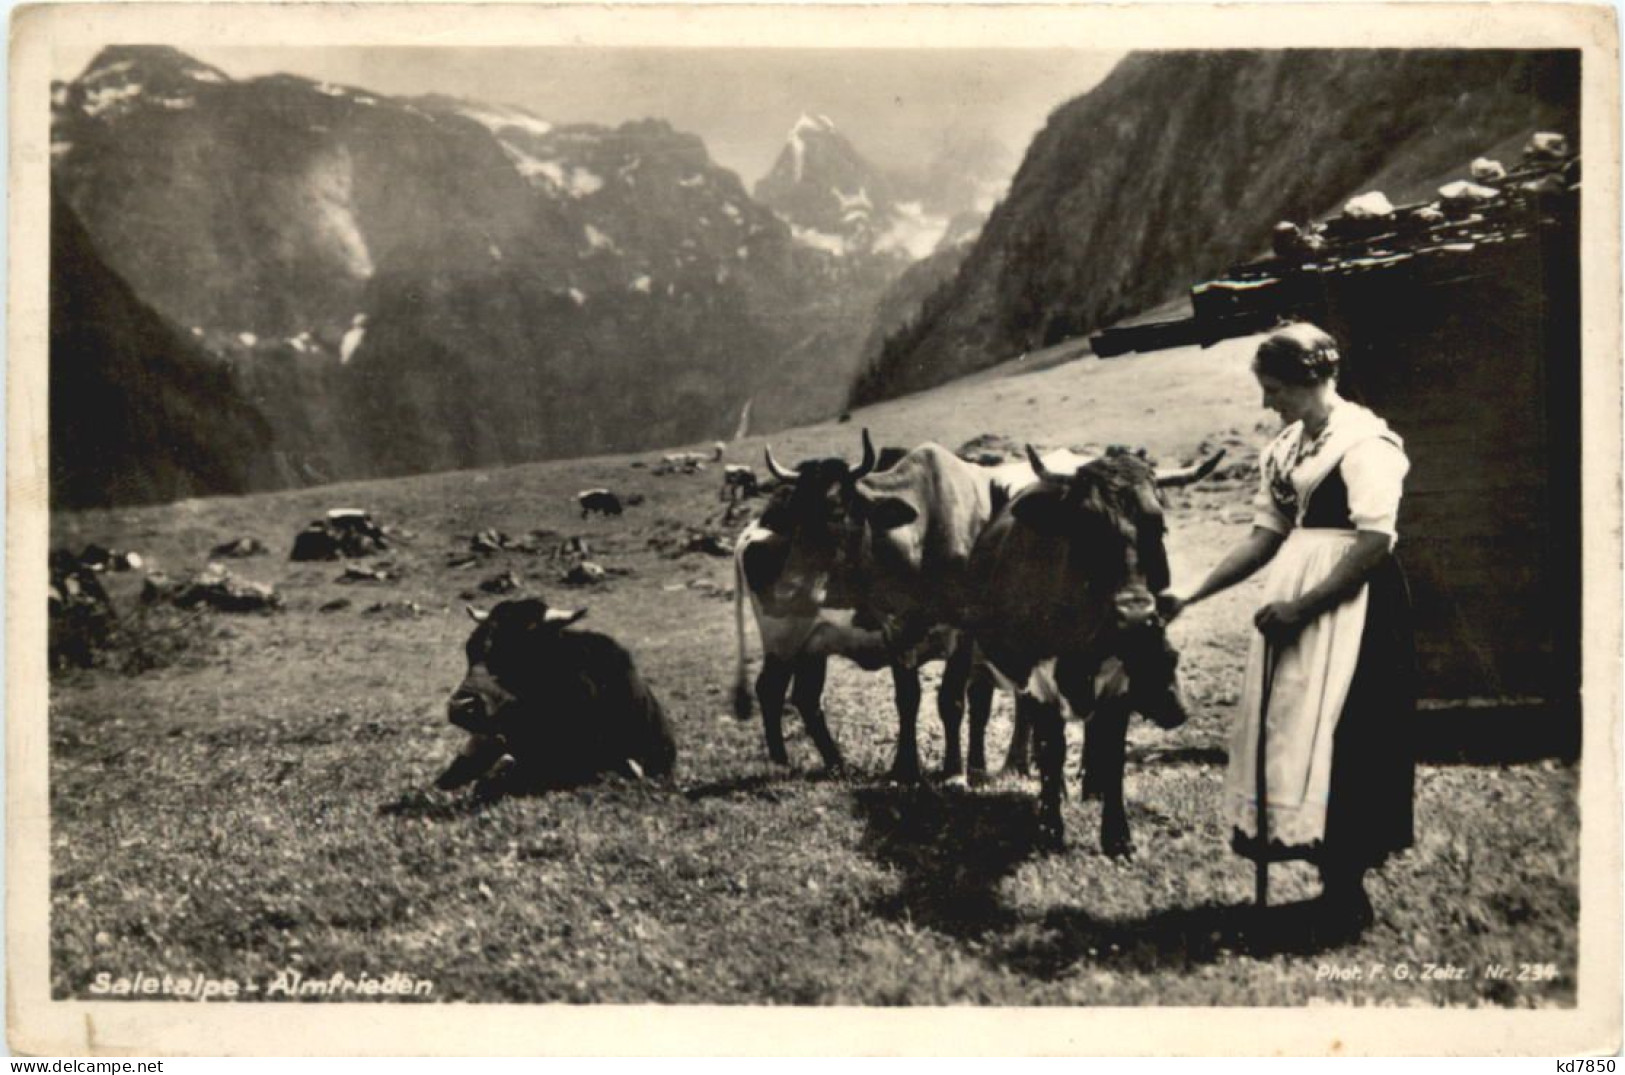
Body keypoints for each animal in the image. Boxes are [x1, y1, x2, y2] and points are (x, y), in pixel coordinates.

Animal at [962, 444, 1222, 850]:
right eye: (1087, 526)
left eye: (1158, 525)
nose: (1135, 615)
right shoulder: (1039, 677)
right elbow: (1051, 749)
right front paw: (1050, 827)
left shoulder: (1120, 680)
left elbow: (1111, 750)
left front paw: (1117, 835)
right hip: (976, 649)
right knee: (982, 700)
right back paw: (983, 772)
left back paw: (1084, 785)